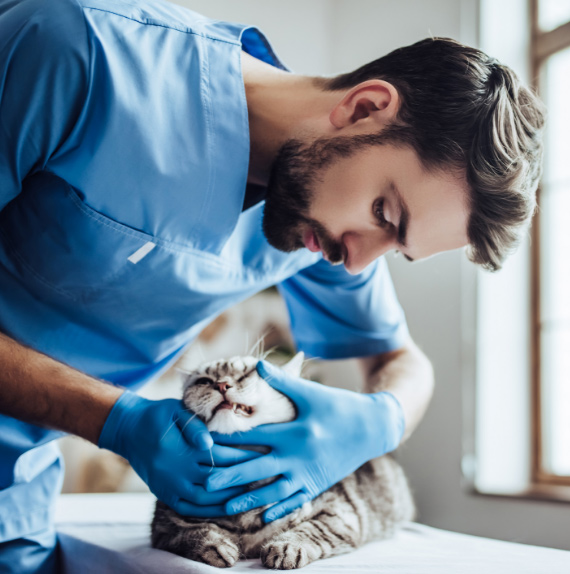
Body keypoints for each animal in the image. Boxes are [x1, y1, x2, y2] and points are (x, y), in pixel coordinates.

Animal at [150, 354, 412, 568]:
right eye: (203, 381)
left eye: (247, 373)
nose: (222, 384)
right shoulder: (164, 526)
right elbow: (196, 533)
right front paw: (217, 547)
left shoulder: (341, 513)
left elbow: (311, 529)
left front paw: (286, 548)